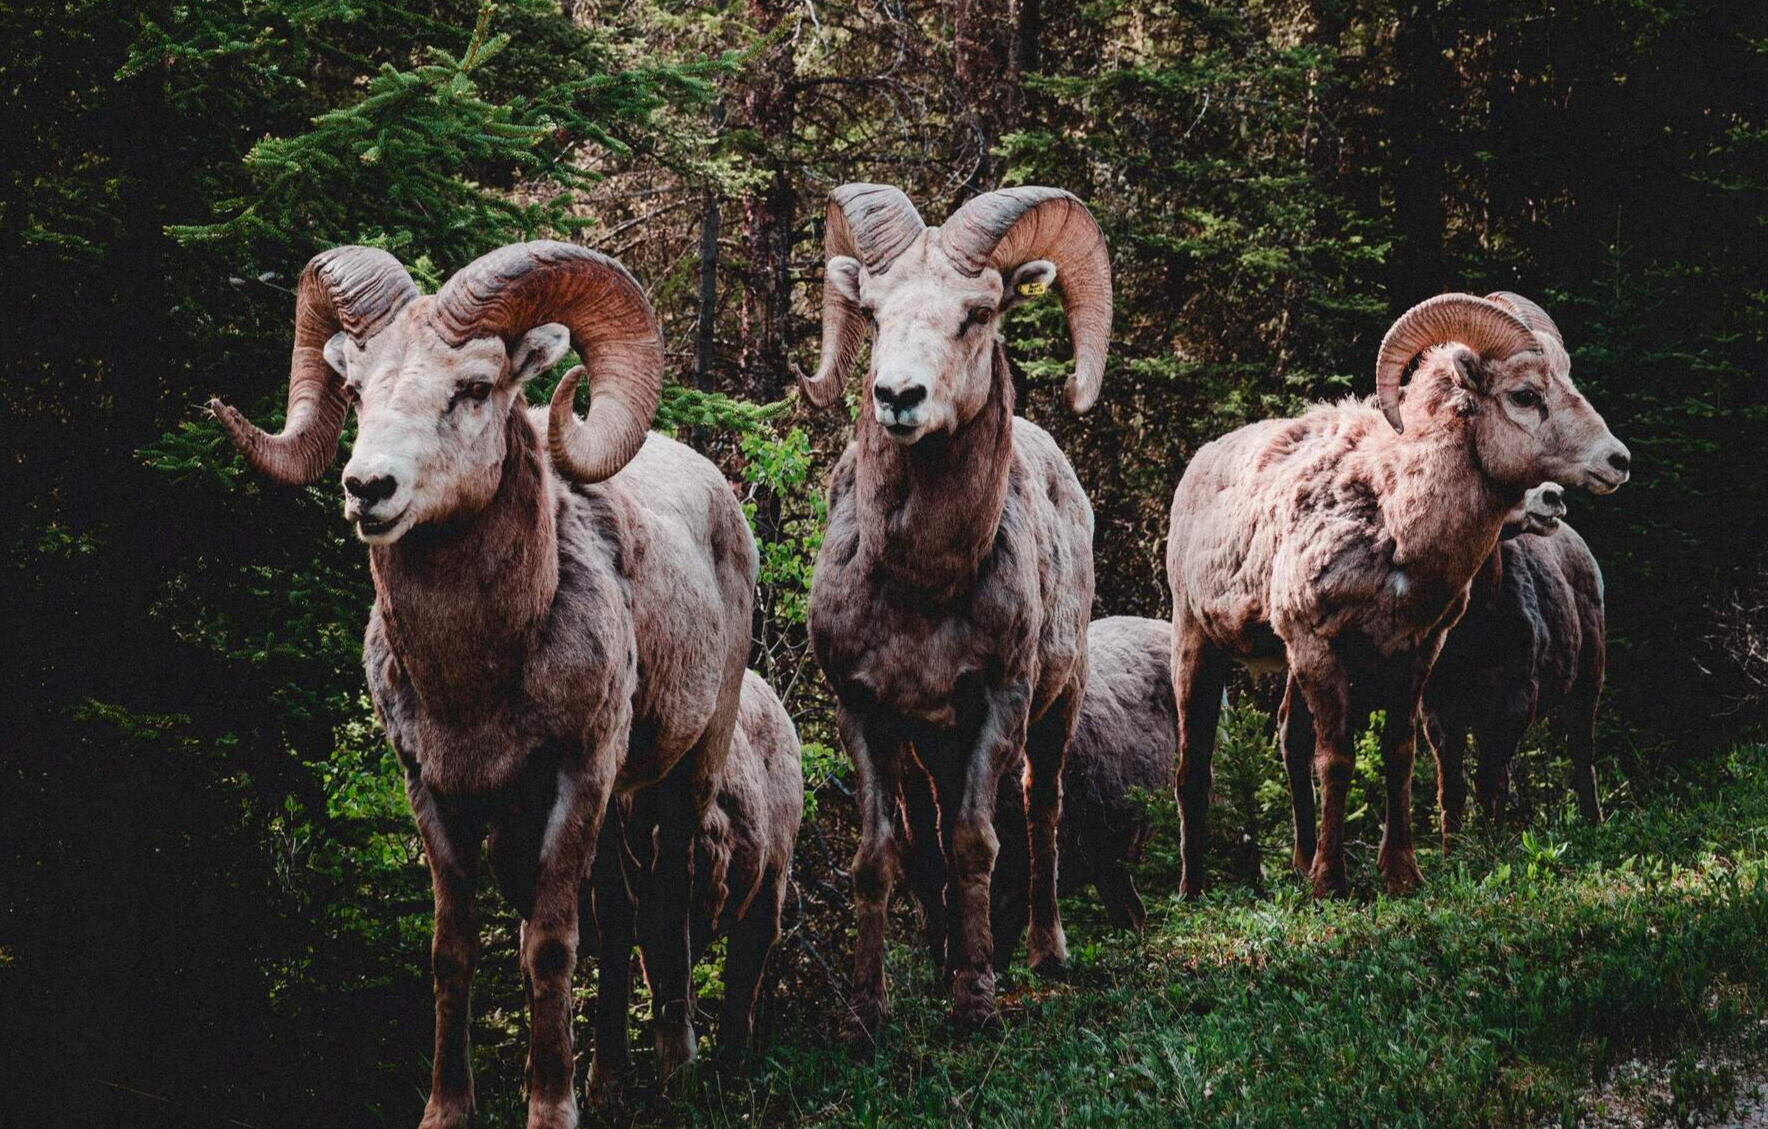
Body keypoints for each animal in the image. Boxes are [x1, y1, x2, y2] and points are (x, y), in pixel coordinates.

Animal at [209, 242, 757, 1128]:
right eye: (357, 390)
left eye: (472, 388)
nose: (368, 489)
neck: (473, 685)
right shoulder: (433, 790)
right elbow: (454, 950)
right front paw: (448, 1108)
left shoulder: (577, 775)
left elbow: (549, 946)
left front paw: (552, 1107)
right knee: (617, 915)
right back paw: (609, 1079)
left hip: (687, 770)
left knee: (663, 900)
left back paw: (677, 1067)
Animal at [800, 184, 1112, 1032]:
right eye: (874, 313)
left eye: (977, 313)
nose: (898, 397)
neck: (922, 588)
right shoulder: (866, 711)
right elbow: (881, 855)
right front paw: (867, 1012)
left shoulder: (998, 702)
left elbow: (976, 842)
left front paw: (975, 998)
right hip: (924, 750)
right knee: (924, 836)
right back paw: (942, 954)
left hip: (1055, 708)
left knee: (1040, 811)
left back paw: (1043, 951)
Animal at [1423, 481, 1608, 835]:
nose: (1554, 494)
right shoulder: (1438, 708)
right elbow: (1452, 790)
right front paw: (1453, 846)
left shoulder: (1516, 698)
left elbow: (1488, 785)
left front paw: (1490, 843)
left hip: (1589, 677)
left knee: (1583, 755)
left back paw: (1594, 823)